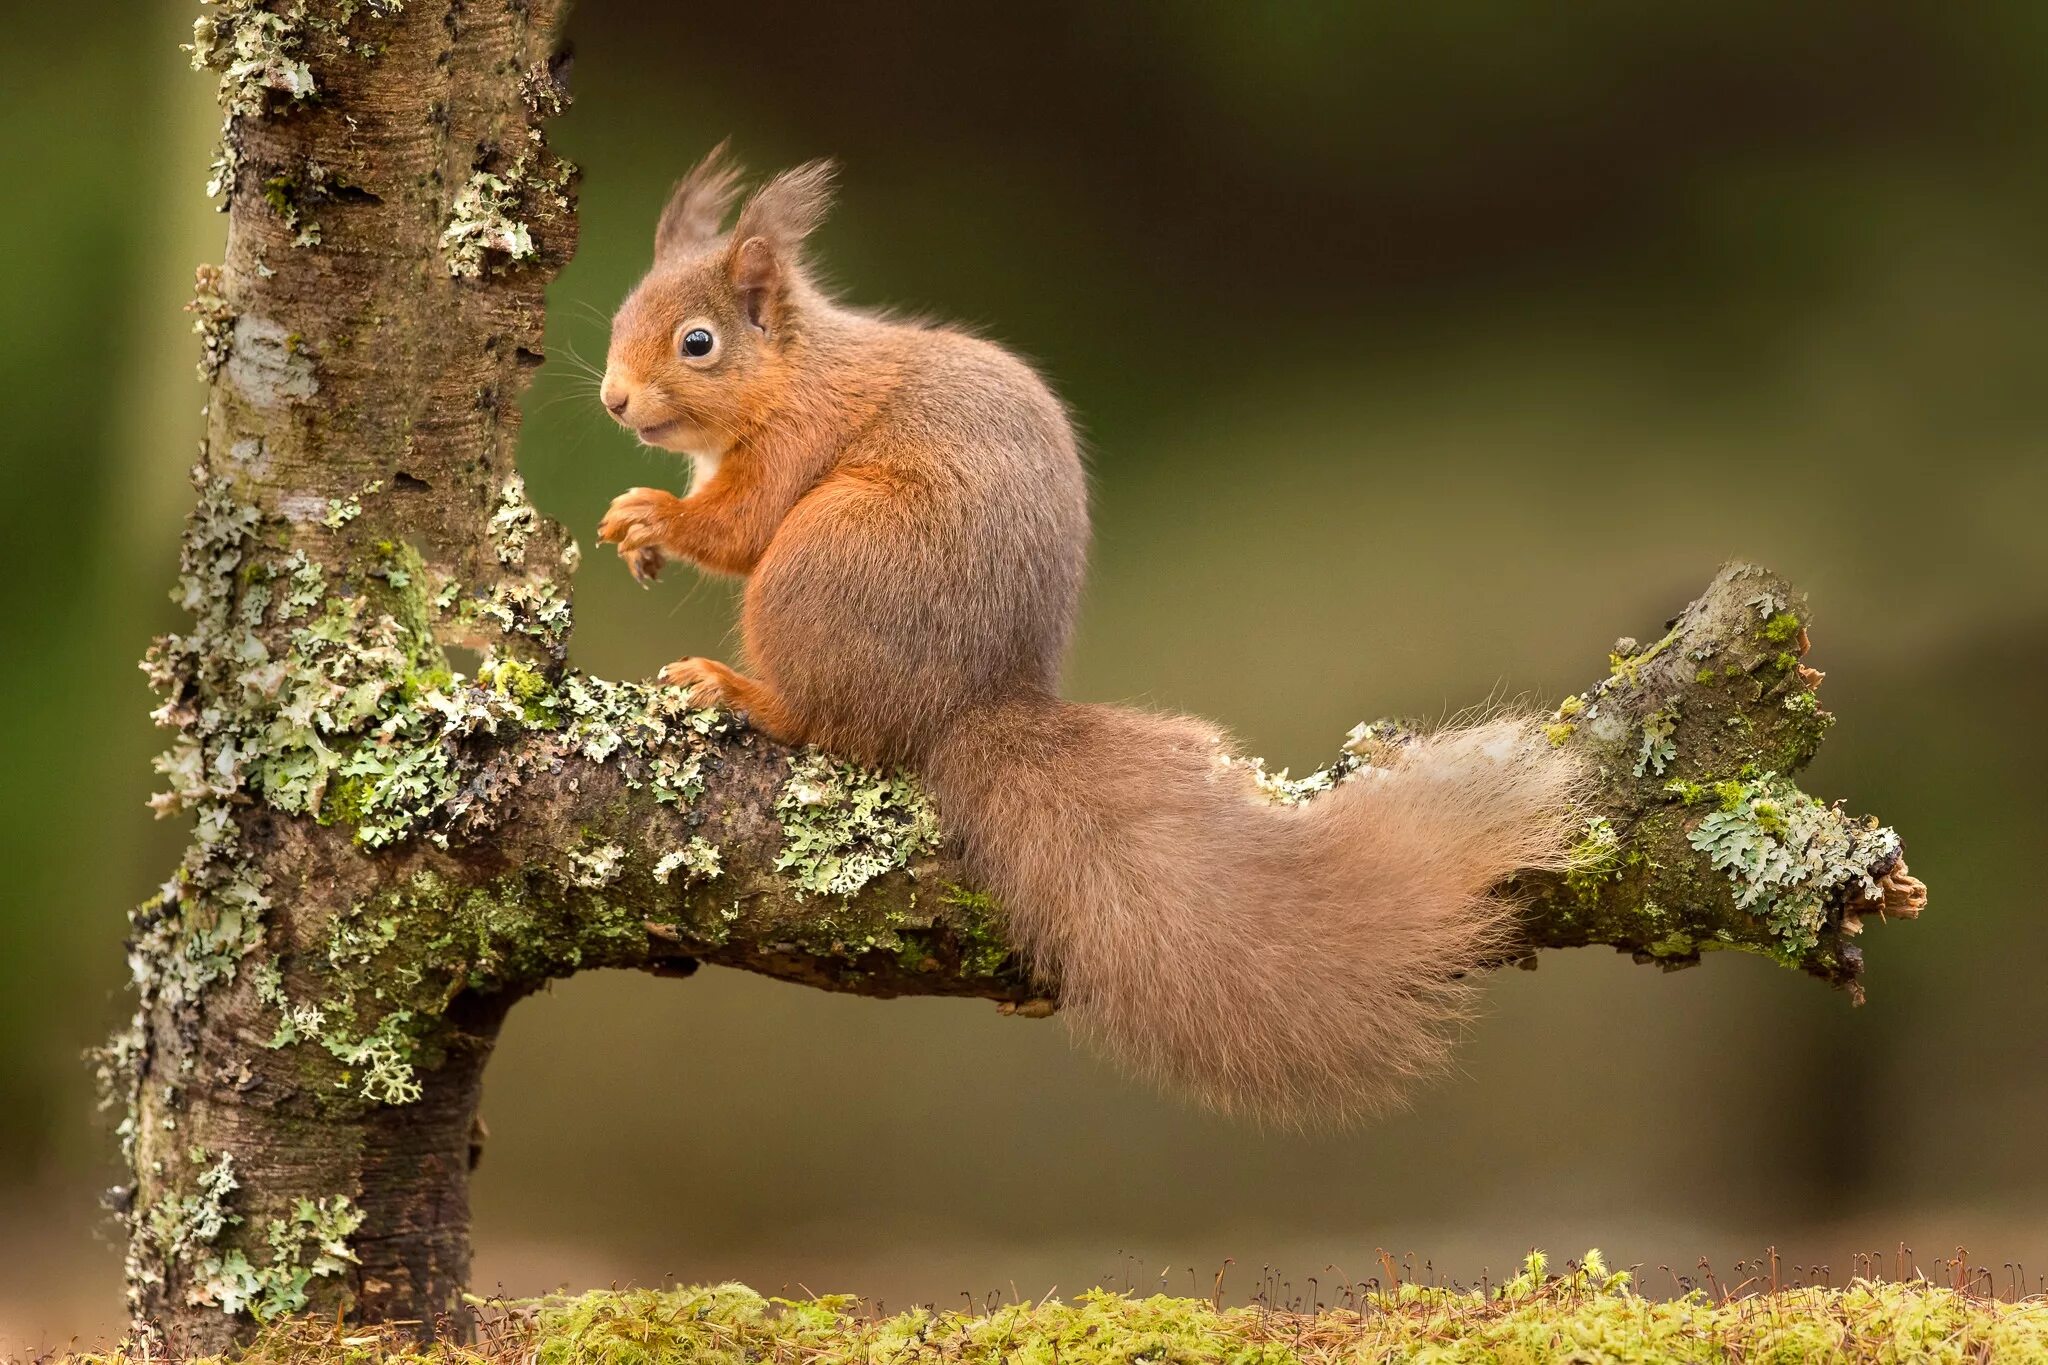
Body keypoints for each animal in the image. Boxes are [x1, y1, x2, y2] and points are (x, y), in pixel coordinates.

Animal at [593, 152, 1581, 1129]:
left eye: (697, 343)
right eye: (616, 320)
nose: (613, 400)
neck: (793, 369)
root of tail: (968, 706)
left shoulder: (800, 435)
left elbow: (739, 526)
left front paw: (652, 517)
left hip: (822, 565)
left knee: (822, 720)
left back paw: (737, 688)